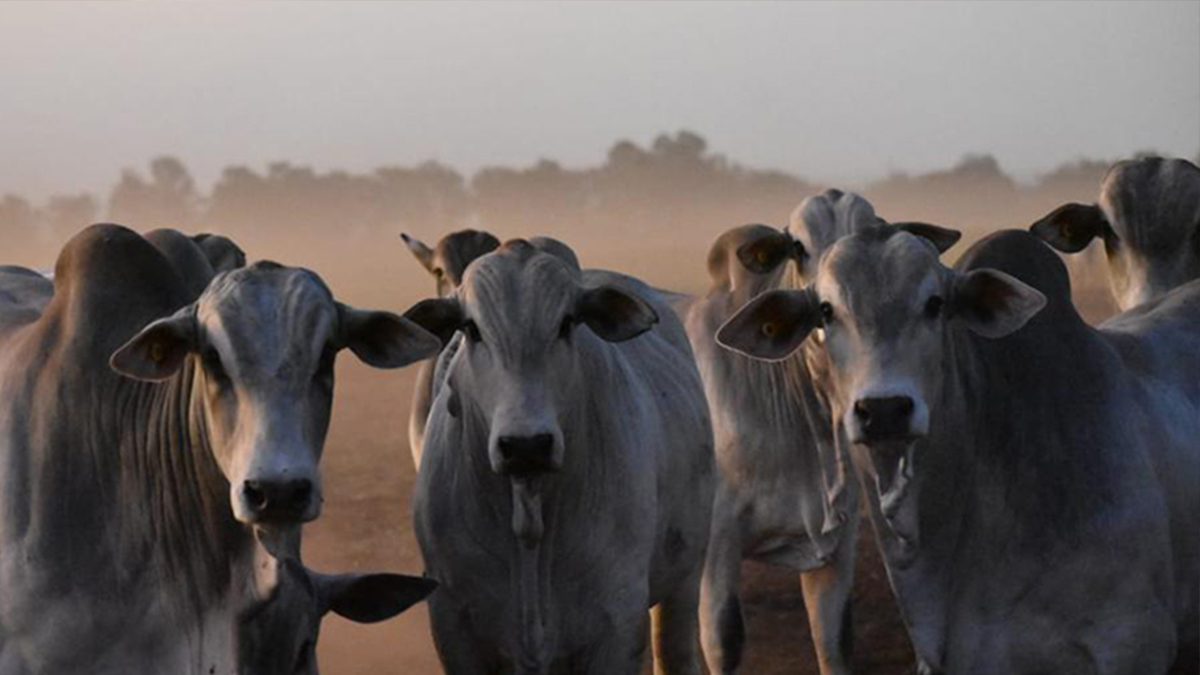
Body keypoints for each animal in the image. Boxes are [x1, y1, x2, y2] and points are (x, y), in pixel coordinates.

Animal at [404, 240, 715, 674]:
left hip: (685, 579)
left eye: (567, 324)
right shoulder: (453, 623)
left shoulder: (617, 625)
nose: (527, 445)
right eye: (472, 329)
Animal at [687, 190, 958, 675]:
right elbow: (724, 640)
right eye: (798, 247)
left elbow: (835, 642)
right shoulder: (717, 542)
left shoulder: (839, 537)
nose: (817, 317)